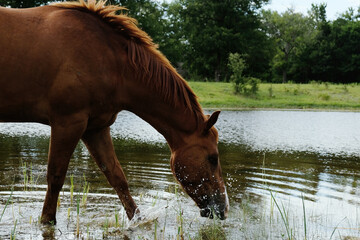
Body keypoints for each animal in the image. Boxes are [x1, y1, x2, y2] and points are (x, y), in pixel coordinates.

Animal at [0, 0, 229, 223]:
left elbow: (117, 177)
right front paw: (47, 221)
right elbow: (55, 177)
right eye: (213, 158)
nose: (223, 209)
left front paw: (137, 220)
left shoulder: (95, 128)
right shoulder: (67, 123)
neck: (109, 60)